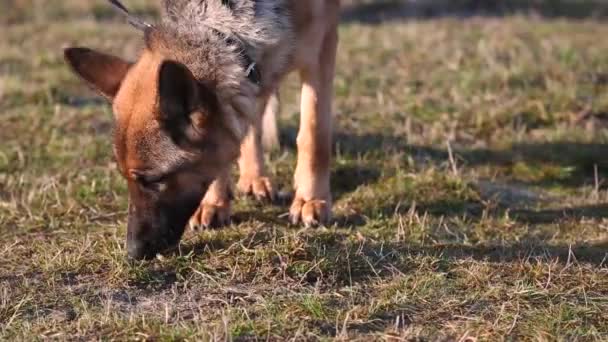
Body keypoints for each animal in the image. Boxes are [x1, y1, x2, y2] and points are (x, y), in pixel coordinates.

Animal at [65, 0, 342, 260]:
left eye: (154, 180)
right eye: (125, 178)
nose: (132, 253)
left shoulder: (322, 48)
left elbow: (314, 134)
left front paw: (311, 199)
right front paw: (214, 202)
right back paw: (253, 177)